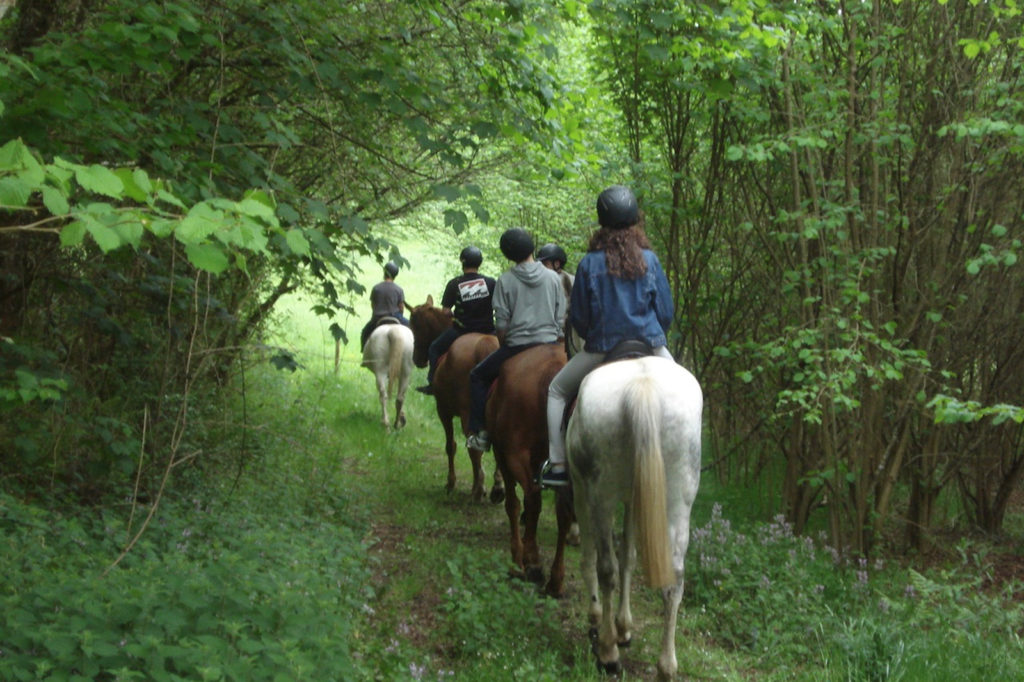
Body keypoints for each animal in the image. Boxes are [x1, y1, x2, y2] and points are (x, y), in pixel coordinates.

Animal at [407, 294, 503, 501]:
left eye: (414, 326)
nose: (417, 359)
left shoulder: (443, 411)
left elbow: (451, 446)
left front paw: (451, 483)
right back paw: (497, 488)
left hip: (467, 414)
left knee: (473, 449)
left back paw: (478, 488)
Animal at [487, 339, 577, 593]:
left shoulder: (503, 456)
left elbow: (513, 504)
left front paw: (518, 557)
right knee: (563, 512)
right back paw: (555, 580)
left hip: (514, 455)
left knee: (532, 498)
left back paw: (530, 562)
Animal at [569, 352, 704, 675]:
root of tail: (643, 386)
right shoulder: (635, 500)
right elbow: (629, 556)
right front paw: (624, 626)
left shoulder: (581, 491)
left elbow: (594, 559)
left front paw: (601, 619)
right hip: (678, 501)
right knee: (675, 578)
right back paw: (666, 665)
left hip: (601, 498)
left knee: (606, 568)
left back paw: (608, 651)